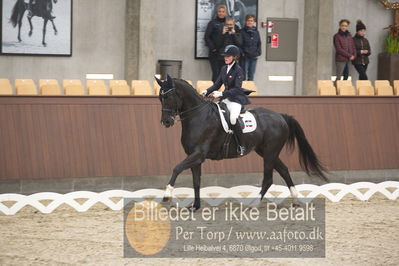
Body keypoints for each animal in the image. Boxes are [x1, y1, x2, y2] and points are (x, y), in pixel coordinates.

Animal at [156, 76, 328, 211]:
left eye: (169, 97)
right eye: (160, 98)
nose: (166, 122)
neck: (198, 116)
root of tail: (281, 116)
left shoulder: (198, 155)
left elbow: (177, 168)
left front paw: (167, 195)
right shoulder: (194, 156)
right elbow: (196, 181)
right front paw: (195, 206)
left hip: (270, 152)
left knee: (268, 179)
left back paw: (254, 204)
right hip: (266, 152)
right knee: (284, 171)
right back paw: (295, 200)